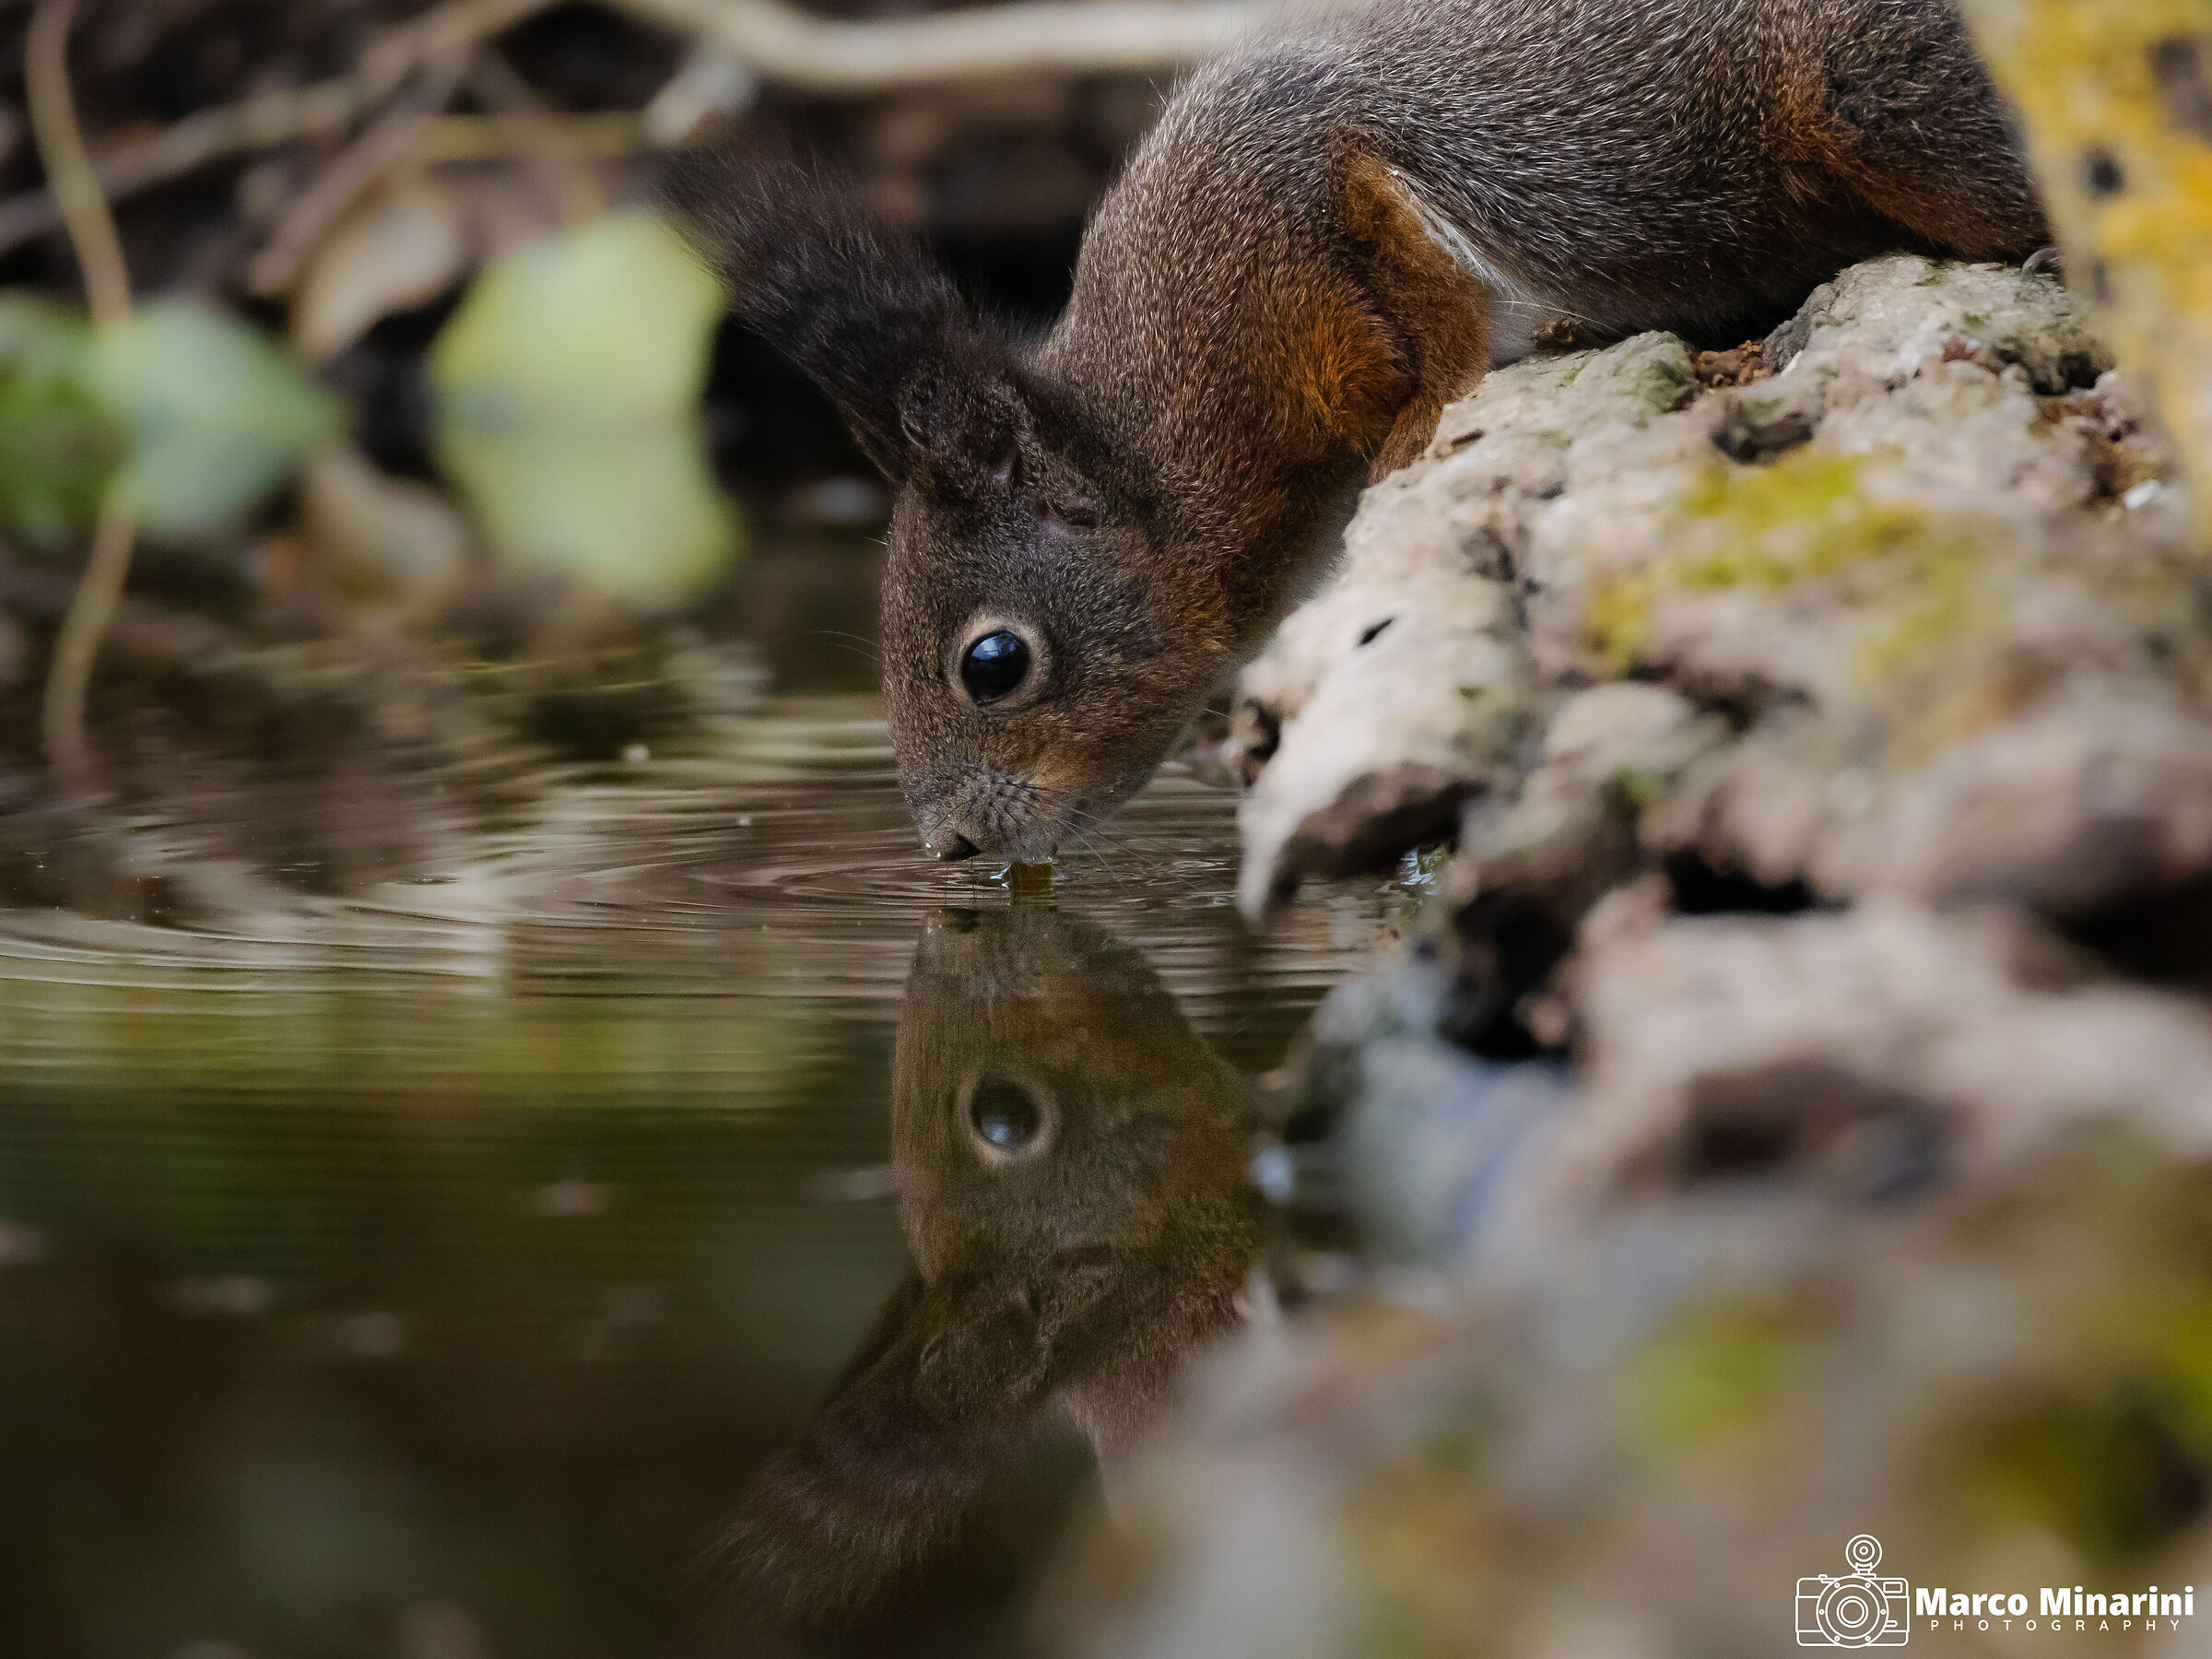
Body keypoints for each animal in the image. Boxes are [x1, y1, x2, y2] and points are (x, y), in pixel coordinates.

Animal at [676, 0, 2048, 864]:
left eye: (994, 663)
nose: (951, 851)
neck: (1182, 418)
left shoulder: (1298, 190)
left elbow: (1426, 295)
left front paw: (1424, 419)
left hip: (1874, 99)